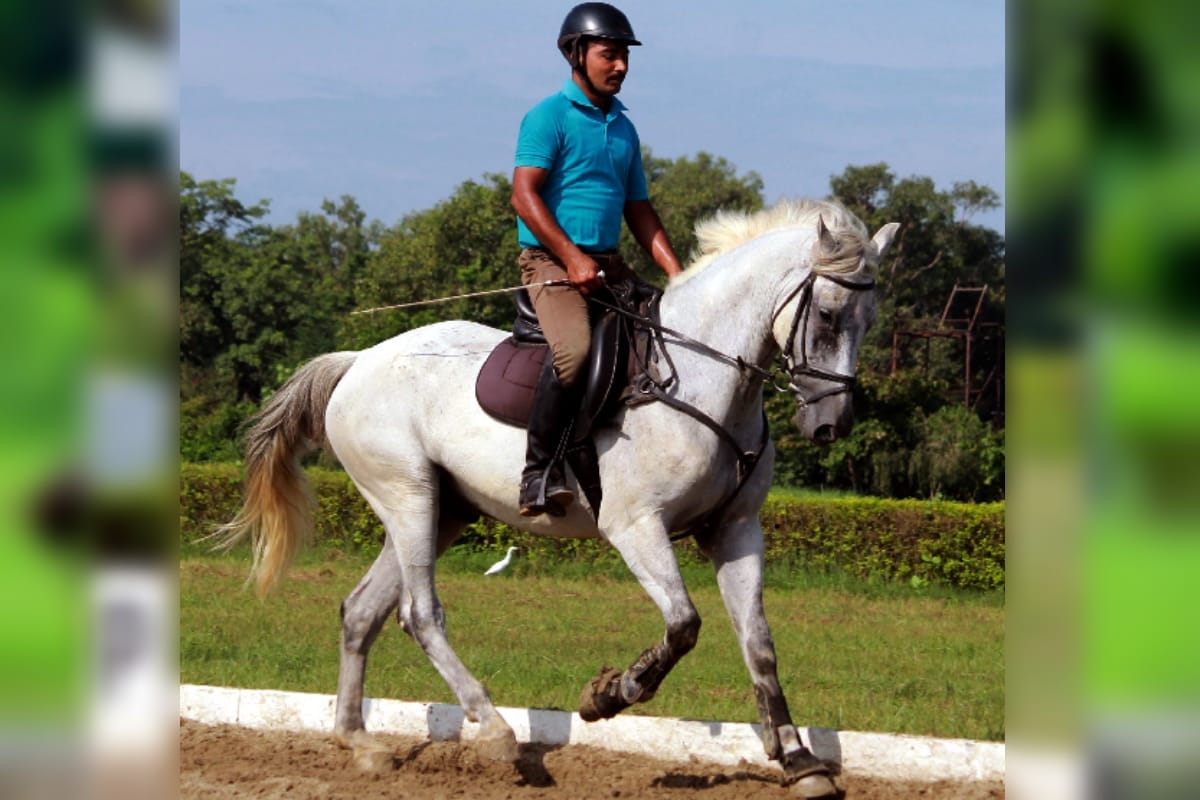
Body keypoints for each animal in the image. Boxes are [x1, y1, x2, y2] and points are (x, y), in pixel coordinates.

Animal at [219, 198, 899, 799]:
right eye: (828, 316)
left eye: (869, 322)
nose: (830, 425)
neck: (705, 380)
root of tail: (359, 361)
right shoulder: (636, 526)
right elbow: (684, 625)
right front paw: (608, 696)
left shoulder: (735, 530)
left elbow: (758, 643)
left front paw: (800, 762)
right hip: (407, 496)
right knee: (420, 613)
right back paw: (495, 731)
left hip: (440, 511)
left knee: (364, 612)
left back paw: (359, 743)